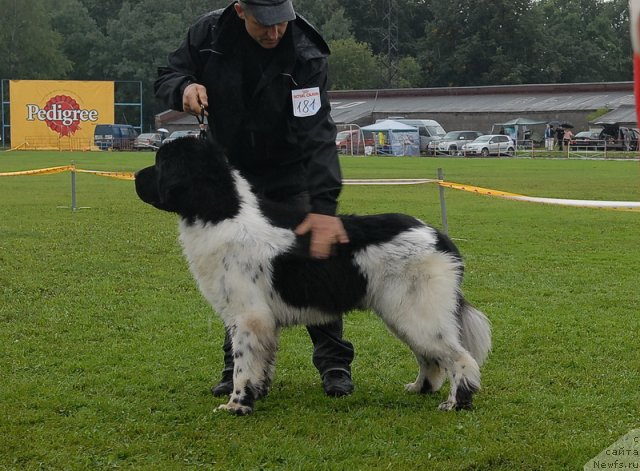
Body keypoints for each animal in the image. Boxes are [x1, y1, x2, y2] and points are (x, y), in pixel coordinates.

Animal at [135, 137, 490, 416]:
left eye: (160, 163)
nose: (136, 176)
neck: (221, 213)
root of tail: (439, 237)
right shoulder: (256, 321)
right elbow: (260, 362)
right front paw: (258, 393)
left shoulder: (249, 317)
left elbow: (243, 365)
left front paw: (237, 404)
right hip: (402, 314)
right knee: (430, 357)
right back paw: (420, 389)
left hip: (418, 313)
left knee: (460, 358)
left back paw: (456, 403)